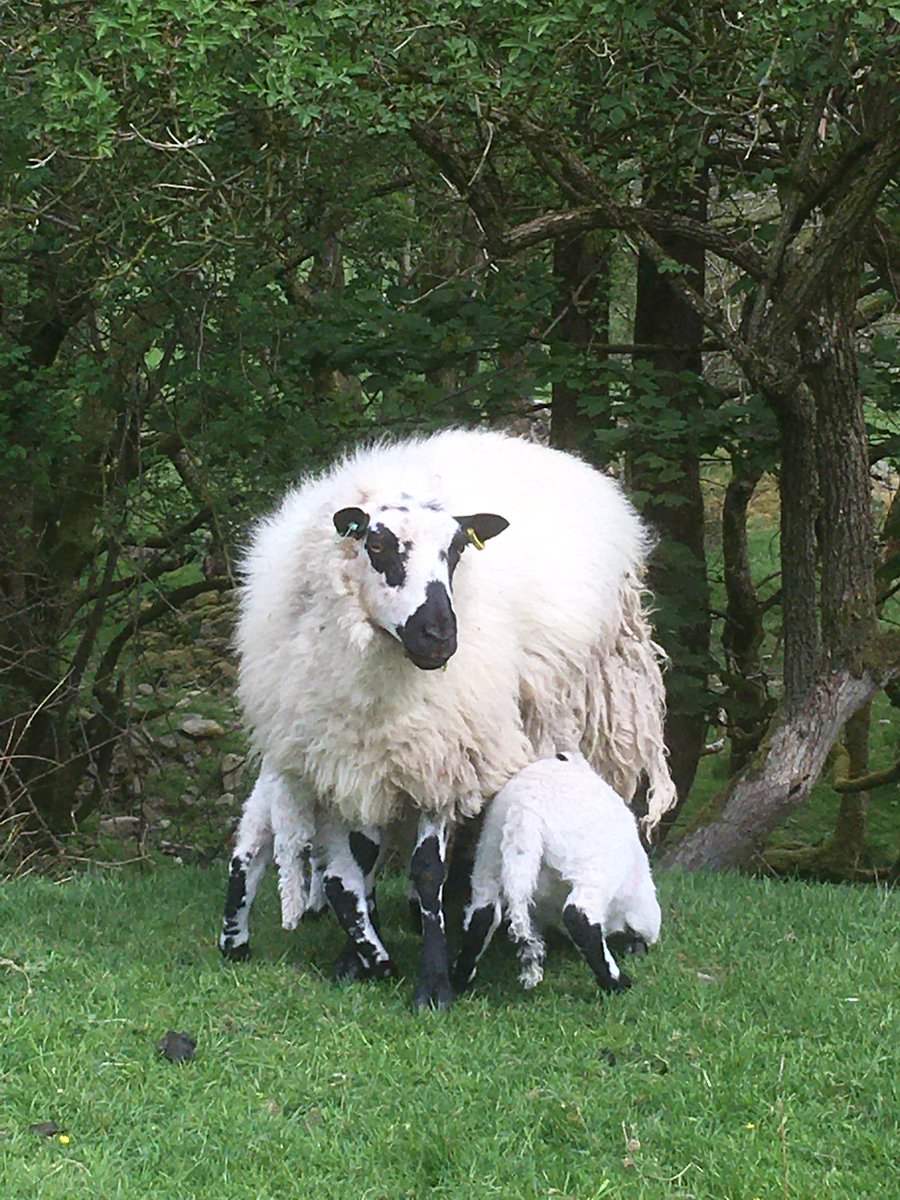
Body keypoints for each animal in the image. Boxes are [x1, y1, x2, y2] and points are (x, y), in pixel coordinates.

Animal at [453, 748, 657, 993]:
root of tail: (524, 813)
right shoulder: (640, 897)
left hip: (488, 861)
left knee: (483, 915)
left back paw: (461, 979)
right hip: (592, 870)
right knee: (578, 916)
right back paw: (616, 983)